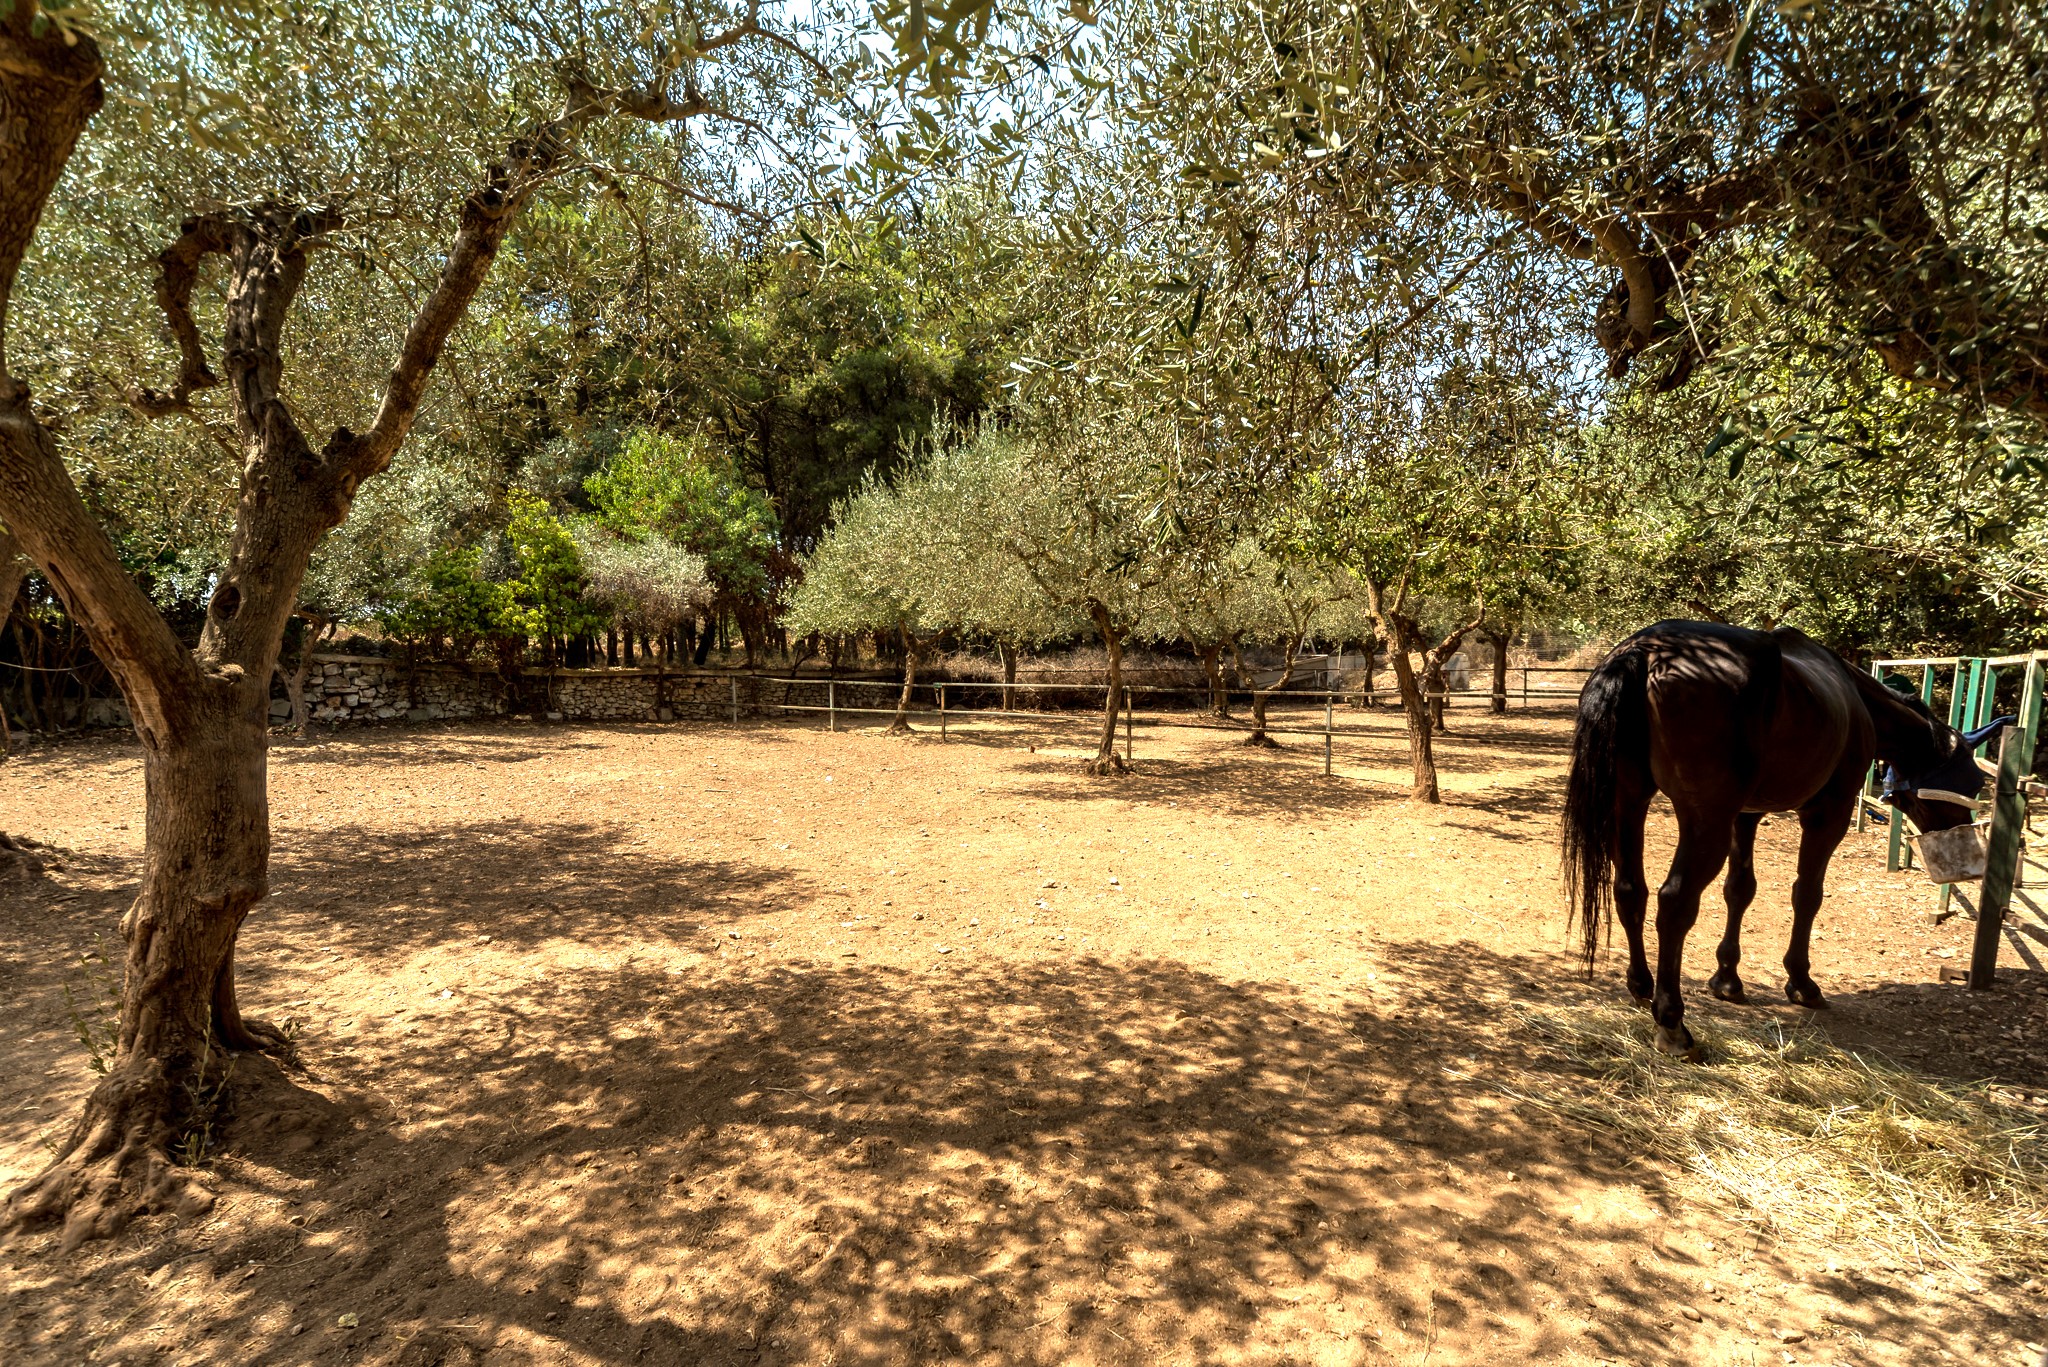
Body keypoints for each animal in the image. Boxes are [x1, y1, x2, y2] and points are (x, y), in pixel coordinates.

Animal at [1564, 618, 1998, 1057]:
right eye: (1972, 780)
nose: (1960, 832)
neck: (1856, 699)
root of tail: (1648, 651)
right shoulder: (1827, 816)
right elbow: (1807, 894)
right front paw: (1802, 982)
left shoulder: (1746, 816)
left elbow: (1739, 890)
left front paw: (1727, 979)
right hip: (1705, 820)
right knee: (1675, 902)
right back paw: (1672, 1023)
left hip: (1629, 801)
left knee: (1630, 890)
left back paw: (1641, 986)